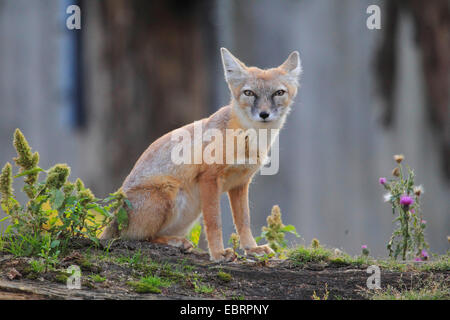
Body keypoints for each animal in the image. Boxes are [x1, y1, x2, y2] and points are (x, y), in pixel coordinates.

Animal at [100, 48, 300, 262]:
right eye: (249, 93)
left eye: (278, 93)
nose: (264, 114)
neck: (246, 140)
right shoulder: (209, 178)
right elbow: (214, 222)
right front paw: (218, 253)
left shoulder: (240, 183)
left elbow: (243, 222)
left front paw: (252, 249)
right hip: (169, 190)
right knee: (140, 237)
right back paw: (176, 242)